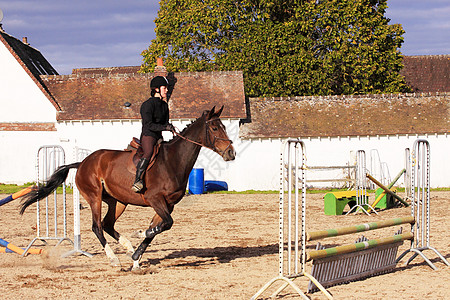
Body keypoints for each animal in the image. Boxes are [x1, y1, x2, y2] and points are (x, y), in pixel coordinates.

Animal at [19, 105, 236, 270]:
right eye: (214, 128)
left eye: (223, 126)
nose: (231, 153)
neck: (172, 161)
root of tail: (82, 163)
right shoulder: (155, 199)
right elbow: (165, 225)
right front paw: (138, 235)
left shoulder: (168, 204)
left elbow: (158, 228)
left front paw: (136, 257)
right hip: (94, 196)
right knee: (97, 226)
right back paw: (114, 259)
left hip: (118, 201)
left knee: (107, 224)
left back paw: (128, 247)